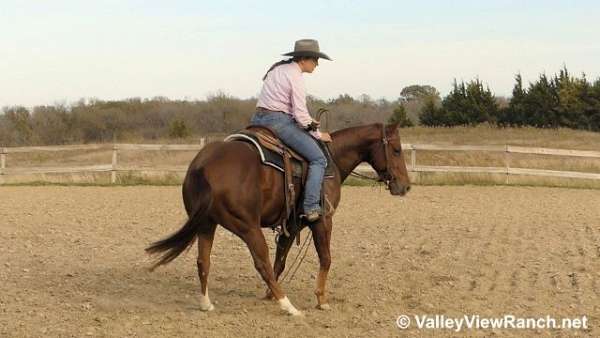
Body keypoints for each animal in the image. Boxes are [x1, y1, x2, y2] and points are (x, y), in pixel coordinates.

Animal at [145, 122, 410, 316]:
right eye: (396, 150)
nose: (405, 186)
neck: (330, 160)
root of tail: (203, 165)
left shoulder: (291, 225)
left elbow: (280, 261)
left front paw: (267, 295)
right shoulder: (323, 220)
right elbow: (325, 259)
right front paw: (321, 299)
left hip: (206, 224)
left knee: (204, 262)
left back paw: (206, 303)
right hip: (248, 227)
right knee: (260, 262)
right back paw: (289, 306)